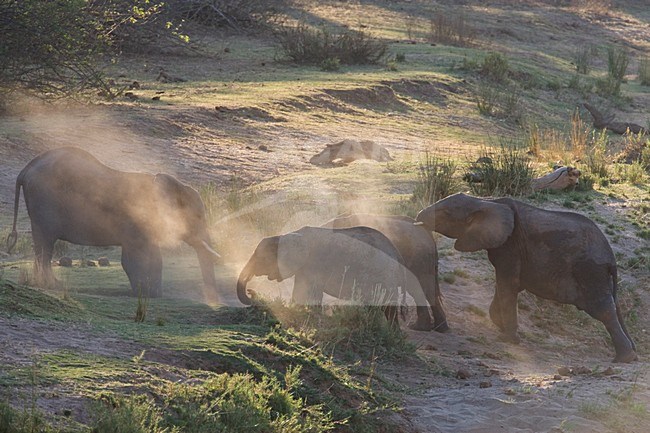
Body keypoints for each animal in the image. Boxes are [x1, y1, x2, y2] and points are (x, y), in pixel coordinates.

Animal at [235, 224, 408, 322]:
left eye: (261, 258)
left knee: (388, 308)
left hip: (385, 276)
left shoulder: (314, 265)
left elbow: (309, 293)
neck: (289, 234)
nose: (251, 291)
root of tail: (398, 255)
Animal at [318, 213, 446, 330]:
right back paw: (436, 328)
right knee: (426, 291)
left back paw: (420, 327)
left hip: (418, 259)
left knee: (420, 289)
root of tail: (427, 233)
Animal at [416, 192, 632, 362]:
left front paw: (508, 339)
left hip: (589, 270)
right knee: (613, 305)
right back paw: (632, 353)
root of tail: (611, 256)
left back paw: (624, 358)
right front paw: (500, 325)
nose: (418, 217)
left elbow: (508, 283)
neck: (484, 201)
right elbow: (507, 285)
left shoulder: (510, 245)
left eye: (445, 214)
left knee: (603, 309)